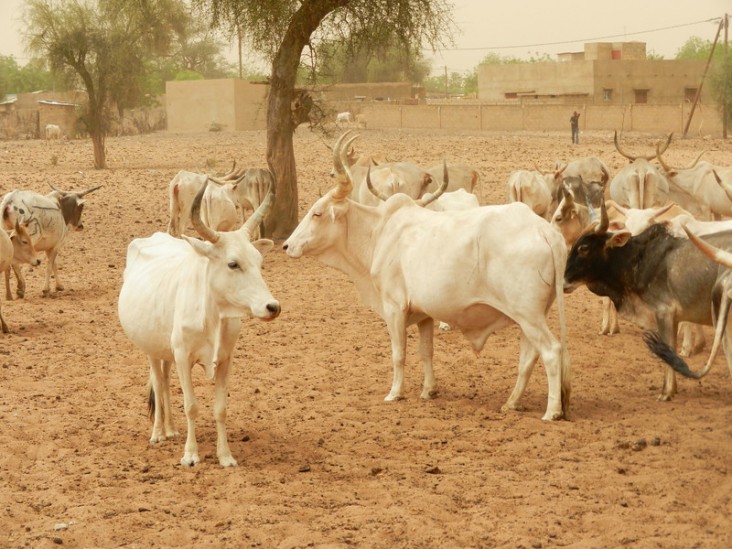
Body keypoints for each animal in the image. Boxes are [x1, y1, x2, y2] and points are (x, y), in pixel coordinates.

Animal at [284, 133, 576, 420]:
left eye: (317, 213)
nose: (287, 245)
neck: (381, 231)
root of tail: (544, 231)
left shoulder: (394, 308)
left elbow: (398, 353)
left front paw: (395, 393)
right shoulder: (424, 314)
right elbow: (426, 352)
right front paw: (428, 391)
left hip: (529, 316)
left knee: (552, 352)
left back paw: (552, 411)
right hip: (530, 317)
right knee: (528, 356)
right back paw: (512, 403)